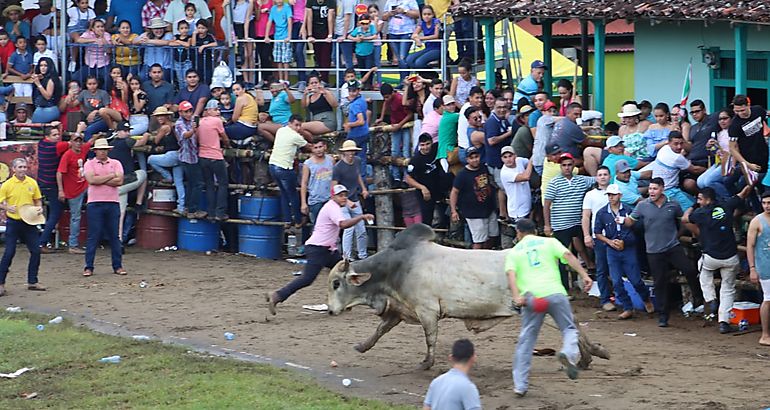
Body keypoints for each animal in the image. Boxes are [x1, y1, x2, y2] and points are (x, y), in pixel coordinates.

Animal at [324, 223, 608, 370]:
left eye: (337, 283)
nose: (329, 310)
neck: (394, 268)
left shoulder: (427, 311)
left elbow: (430, 339)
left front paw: (426, 363)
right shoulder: (401, 310)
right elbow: (380, 330)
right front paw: (362, 346)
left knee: (573, 325)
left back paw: (592, 354)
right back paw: (590, 355)